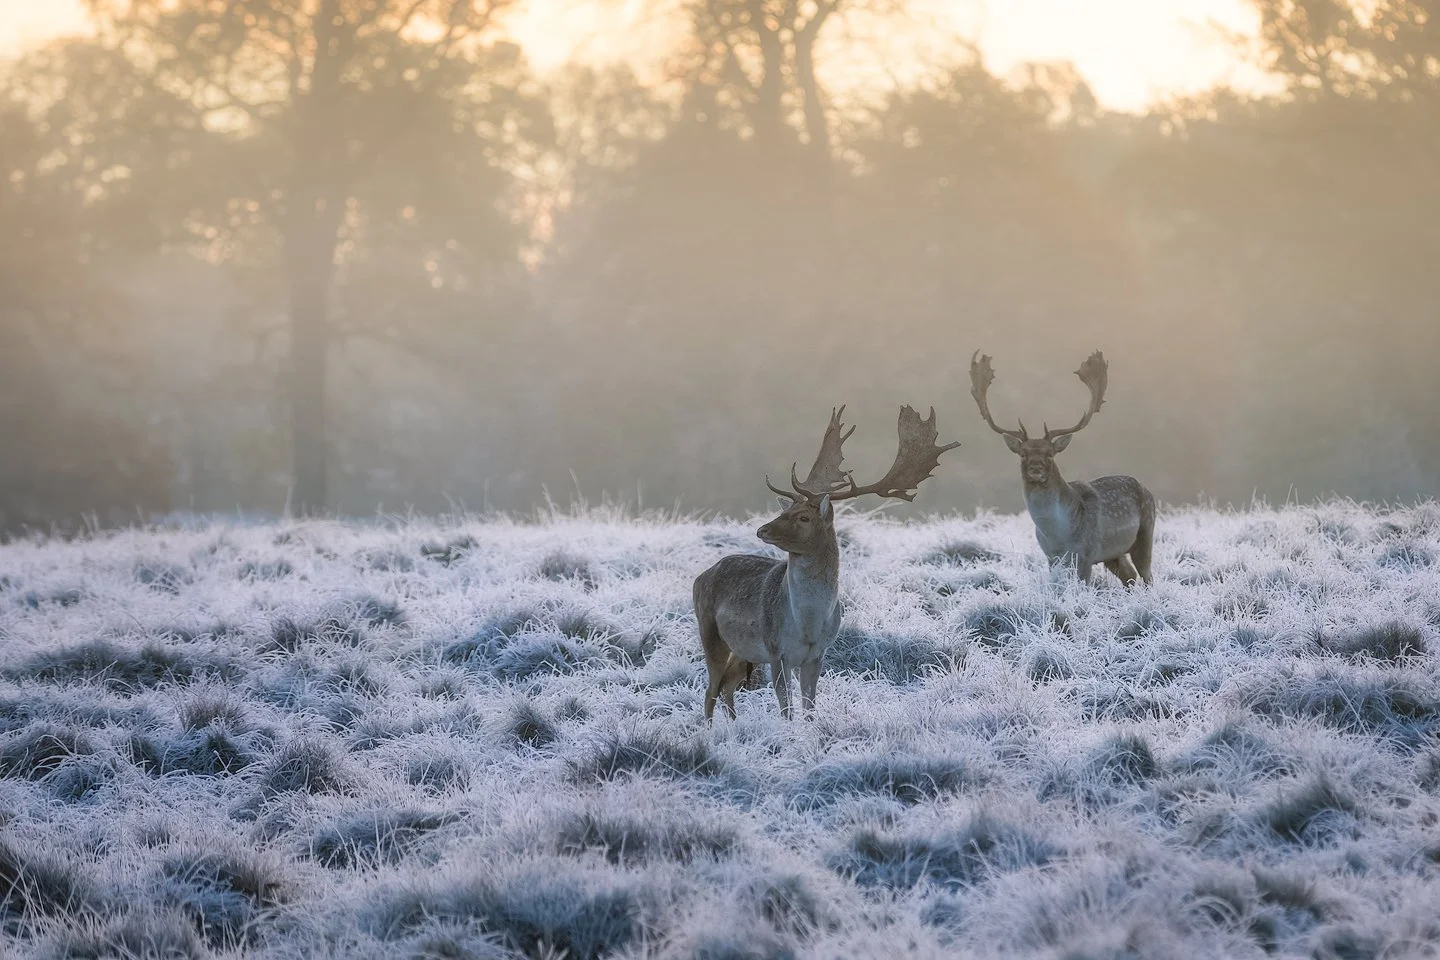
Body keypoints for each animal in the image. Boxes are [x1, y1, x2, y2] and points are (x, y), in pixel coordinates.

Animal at [694, 405, 958, 720]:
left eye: (804, 517)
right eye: (786, 511)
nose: (762, 530)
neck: (807, 626)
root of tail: (700, 577)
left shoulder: (817, 654)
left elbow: (809, 706)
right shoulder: (777, 650)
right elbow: (787, 709)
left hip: (744, 651)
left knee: (725, 688)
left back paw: (733, 725)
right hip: (710, 632)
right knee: (710, 691)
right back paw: (710, 729)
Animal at [968, 350, 1156, 586]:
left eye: (1050, 453)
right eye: (1023, 454)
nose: (1036, 468)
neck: (1058, 536)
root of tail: (1147, 489)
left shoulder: (1086, 553)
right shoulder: (1051, 557)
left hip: (1146, 532)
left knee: (1147, 575)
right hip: (1113, 553)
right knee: (1129, 575)